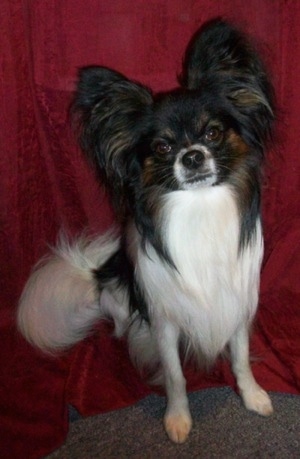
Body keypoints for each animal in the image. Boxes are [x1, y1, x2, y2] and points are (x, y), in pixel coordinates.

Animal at [17, 19, 274, 444]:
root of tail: (98, 270)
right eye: (162, 147)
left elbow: (239, 357)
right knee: (121, 316)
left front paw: (252, 395)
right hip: (121, 288)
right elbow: (175, 376)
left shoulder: (236, 303)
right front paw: (178, 418)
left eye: (213, 134)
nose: (192, 156)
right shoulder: (164, 318)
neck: (200, 209)